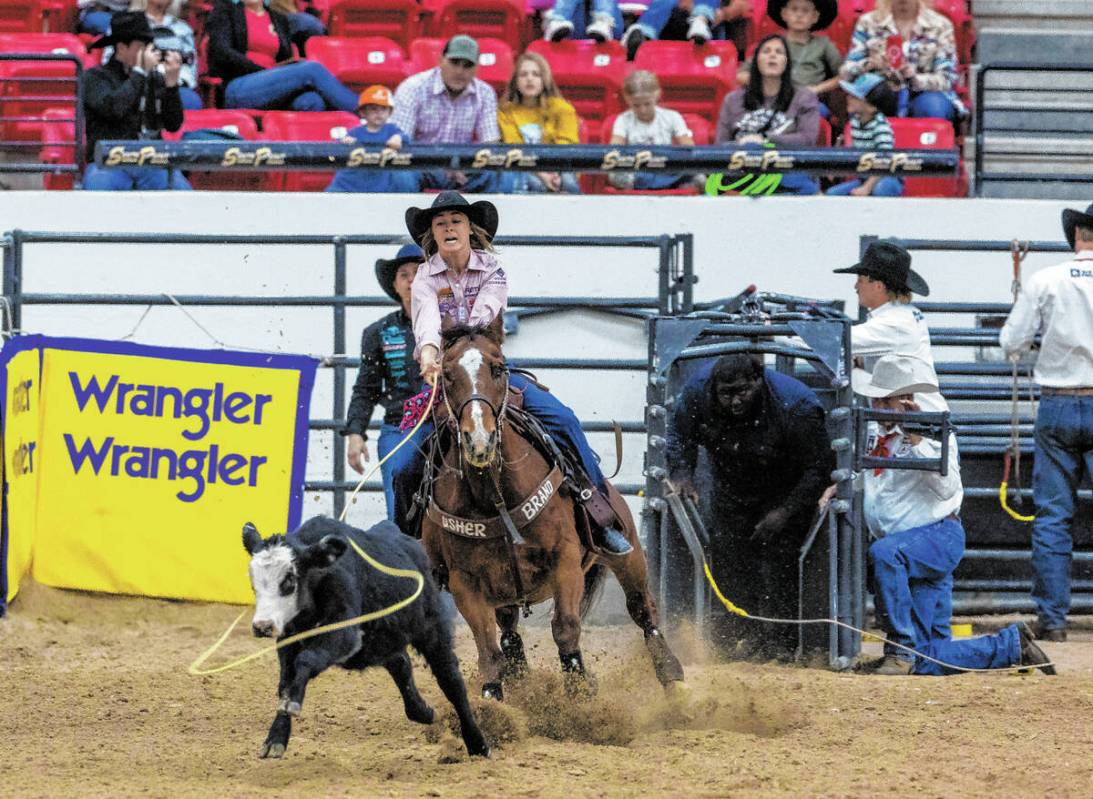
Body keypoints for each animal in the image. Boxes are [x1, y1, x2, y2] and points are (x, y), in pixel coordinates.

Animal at [248, 515, 491, 760]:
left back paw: (477, 743)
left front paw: (293, 703)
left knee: (451, 681)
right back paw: (423, 711)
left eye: (289, 580)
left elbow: (306, 660)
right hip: (384, 641)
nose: (262, 626)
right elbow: (285, 682)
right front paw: (276, 738)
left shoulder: (344, 635)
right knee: (400, 664)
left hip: (432, 631)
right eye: (254, 583)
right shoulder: (287, 641)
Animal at [417, 314, 682, 703]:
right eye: (447, 374)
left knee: (642, 610)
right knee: (508, 629)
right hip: (503, 593)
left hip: (628, 553)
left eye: (497, 367)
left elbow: (566, 628)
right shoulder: (465, 582)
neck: (494, 496)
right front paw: (493, 704)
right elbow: (487, 651)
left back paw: (673, 675)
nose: (479, 440)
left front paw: (580, 692)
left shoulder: (565, 560)